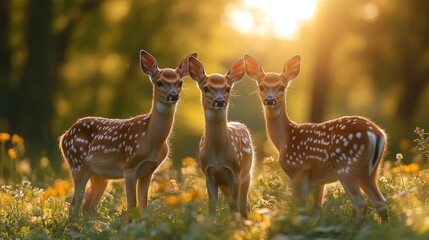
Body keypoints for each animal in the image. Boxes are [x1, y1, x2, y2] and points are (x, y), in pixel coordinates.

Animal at [58, 49, 196, 221]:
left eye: (180, 83)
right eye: (159, 82)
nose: (173, 95)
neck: (150, 139)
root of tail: (63, 136)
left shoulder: (148, 171)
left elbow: (143, 207)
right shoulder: (129, 166)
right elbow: (131, 207)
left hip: (99, 174)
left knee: (88, 205)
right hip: (77, 163)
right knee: (74, 205)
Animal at [188, 55, 254, 219]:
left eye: (228, 88)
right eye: (206, 88)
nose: (219, 101)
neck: (218, 155)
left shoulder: (235, 172)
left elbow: (234, 206)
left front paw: (234, 224)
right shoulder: (208, 173)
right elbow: (212, 205)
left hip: (247, 173)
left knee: (245, 204)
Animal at [244, 54, 388, 223]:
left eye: (282, 87)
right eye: (261, 86)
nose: (270, 100)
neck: (285, 139)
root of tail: (377, 134)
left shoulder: (298, 169)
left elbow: (299, 208)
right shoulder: (318, 180)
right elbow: (317, 211)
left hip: (346, 165)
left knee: (360, 204)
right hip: (371, 171)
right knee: (380, 202)